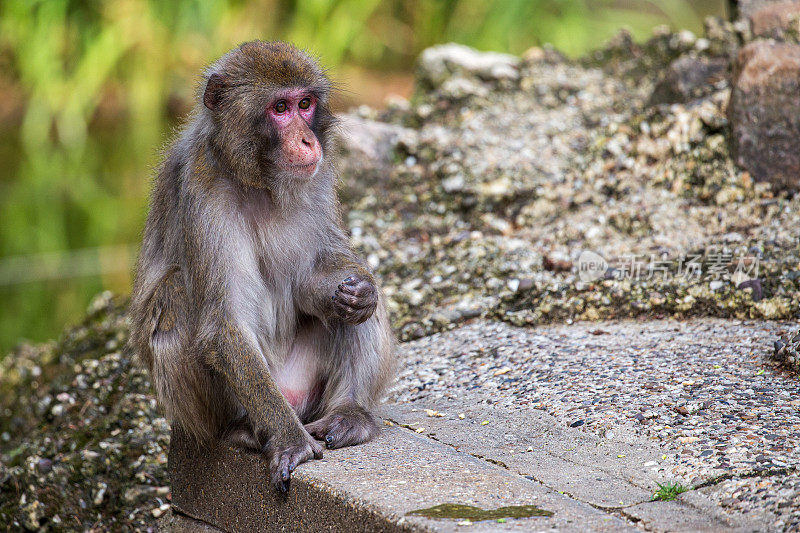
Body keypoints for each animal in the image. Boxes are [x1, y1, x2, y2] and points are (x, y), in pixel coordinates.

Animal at [127, 40, 396, 490]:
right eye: (280, 108)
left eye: (305, 104)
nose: (307, 141)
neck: (258, 181)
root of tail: (291, 397)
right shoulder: (202, 190)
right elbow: (226, 325)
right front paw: (291, 442)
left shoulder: (321, 177)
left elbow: (322, 273)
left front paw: (355, 292)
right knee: (176, 292)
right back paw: (245, 430)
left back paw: (350, 413)